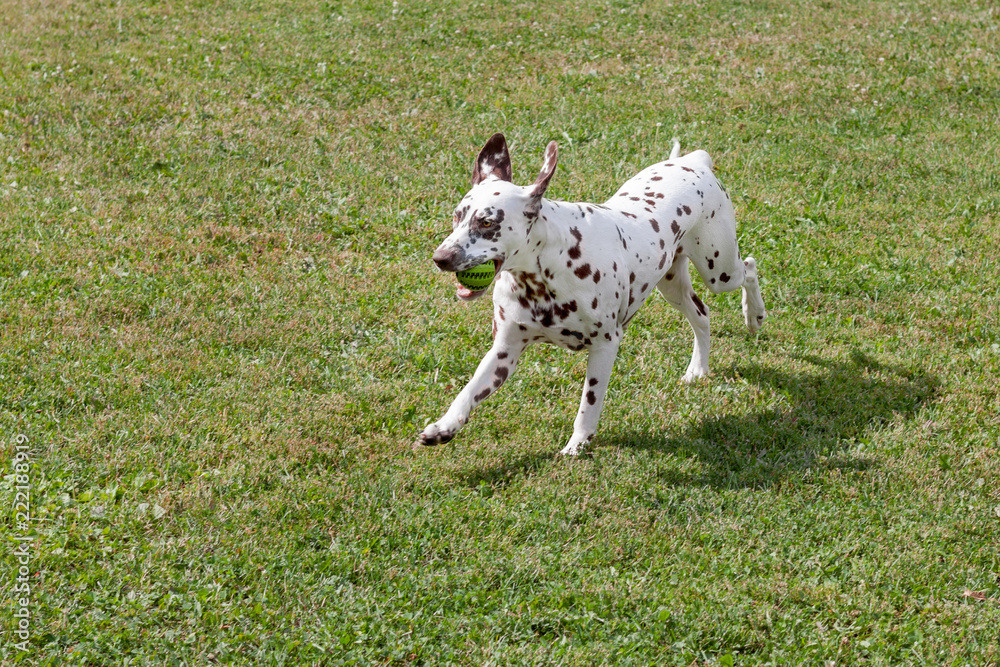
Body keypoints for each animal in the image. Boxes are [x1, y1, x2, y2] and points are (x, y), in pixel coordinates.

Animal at [422, 134, 764, 460]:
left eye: (487, 222)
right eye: (457, 216)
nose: (440, 258)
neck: (547, 273)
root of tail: (692, 161)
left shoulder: (605, 346)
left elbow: (589, 404)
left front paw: (578, 444)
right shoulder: (504, 352)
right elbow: (467, 392)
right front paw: (444, 427)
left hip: (719, 271)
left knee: (749, 267)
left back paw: (754, 314)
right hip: (673, 286)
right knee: (702, 315)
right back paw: (698, 369)